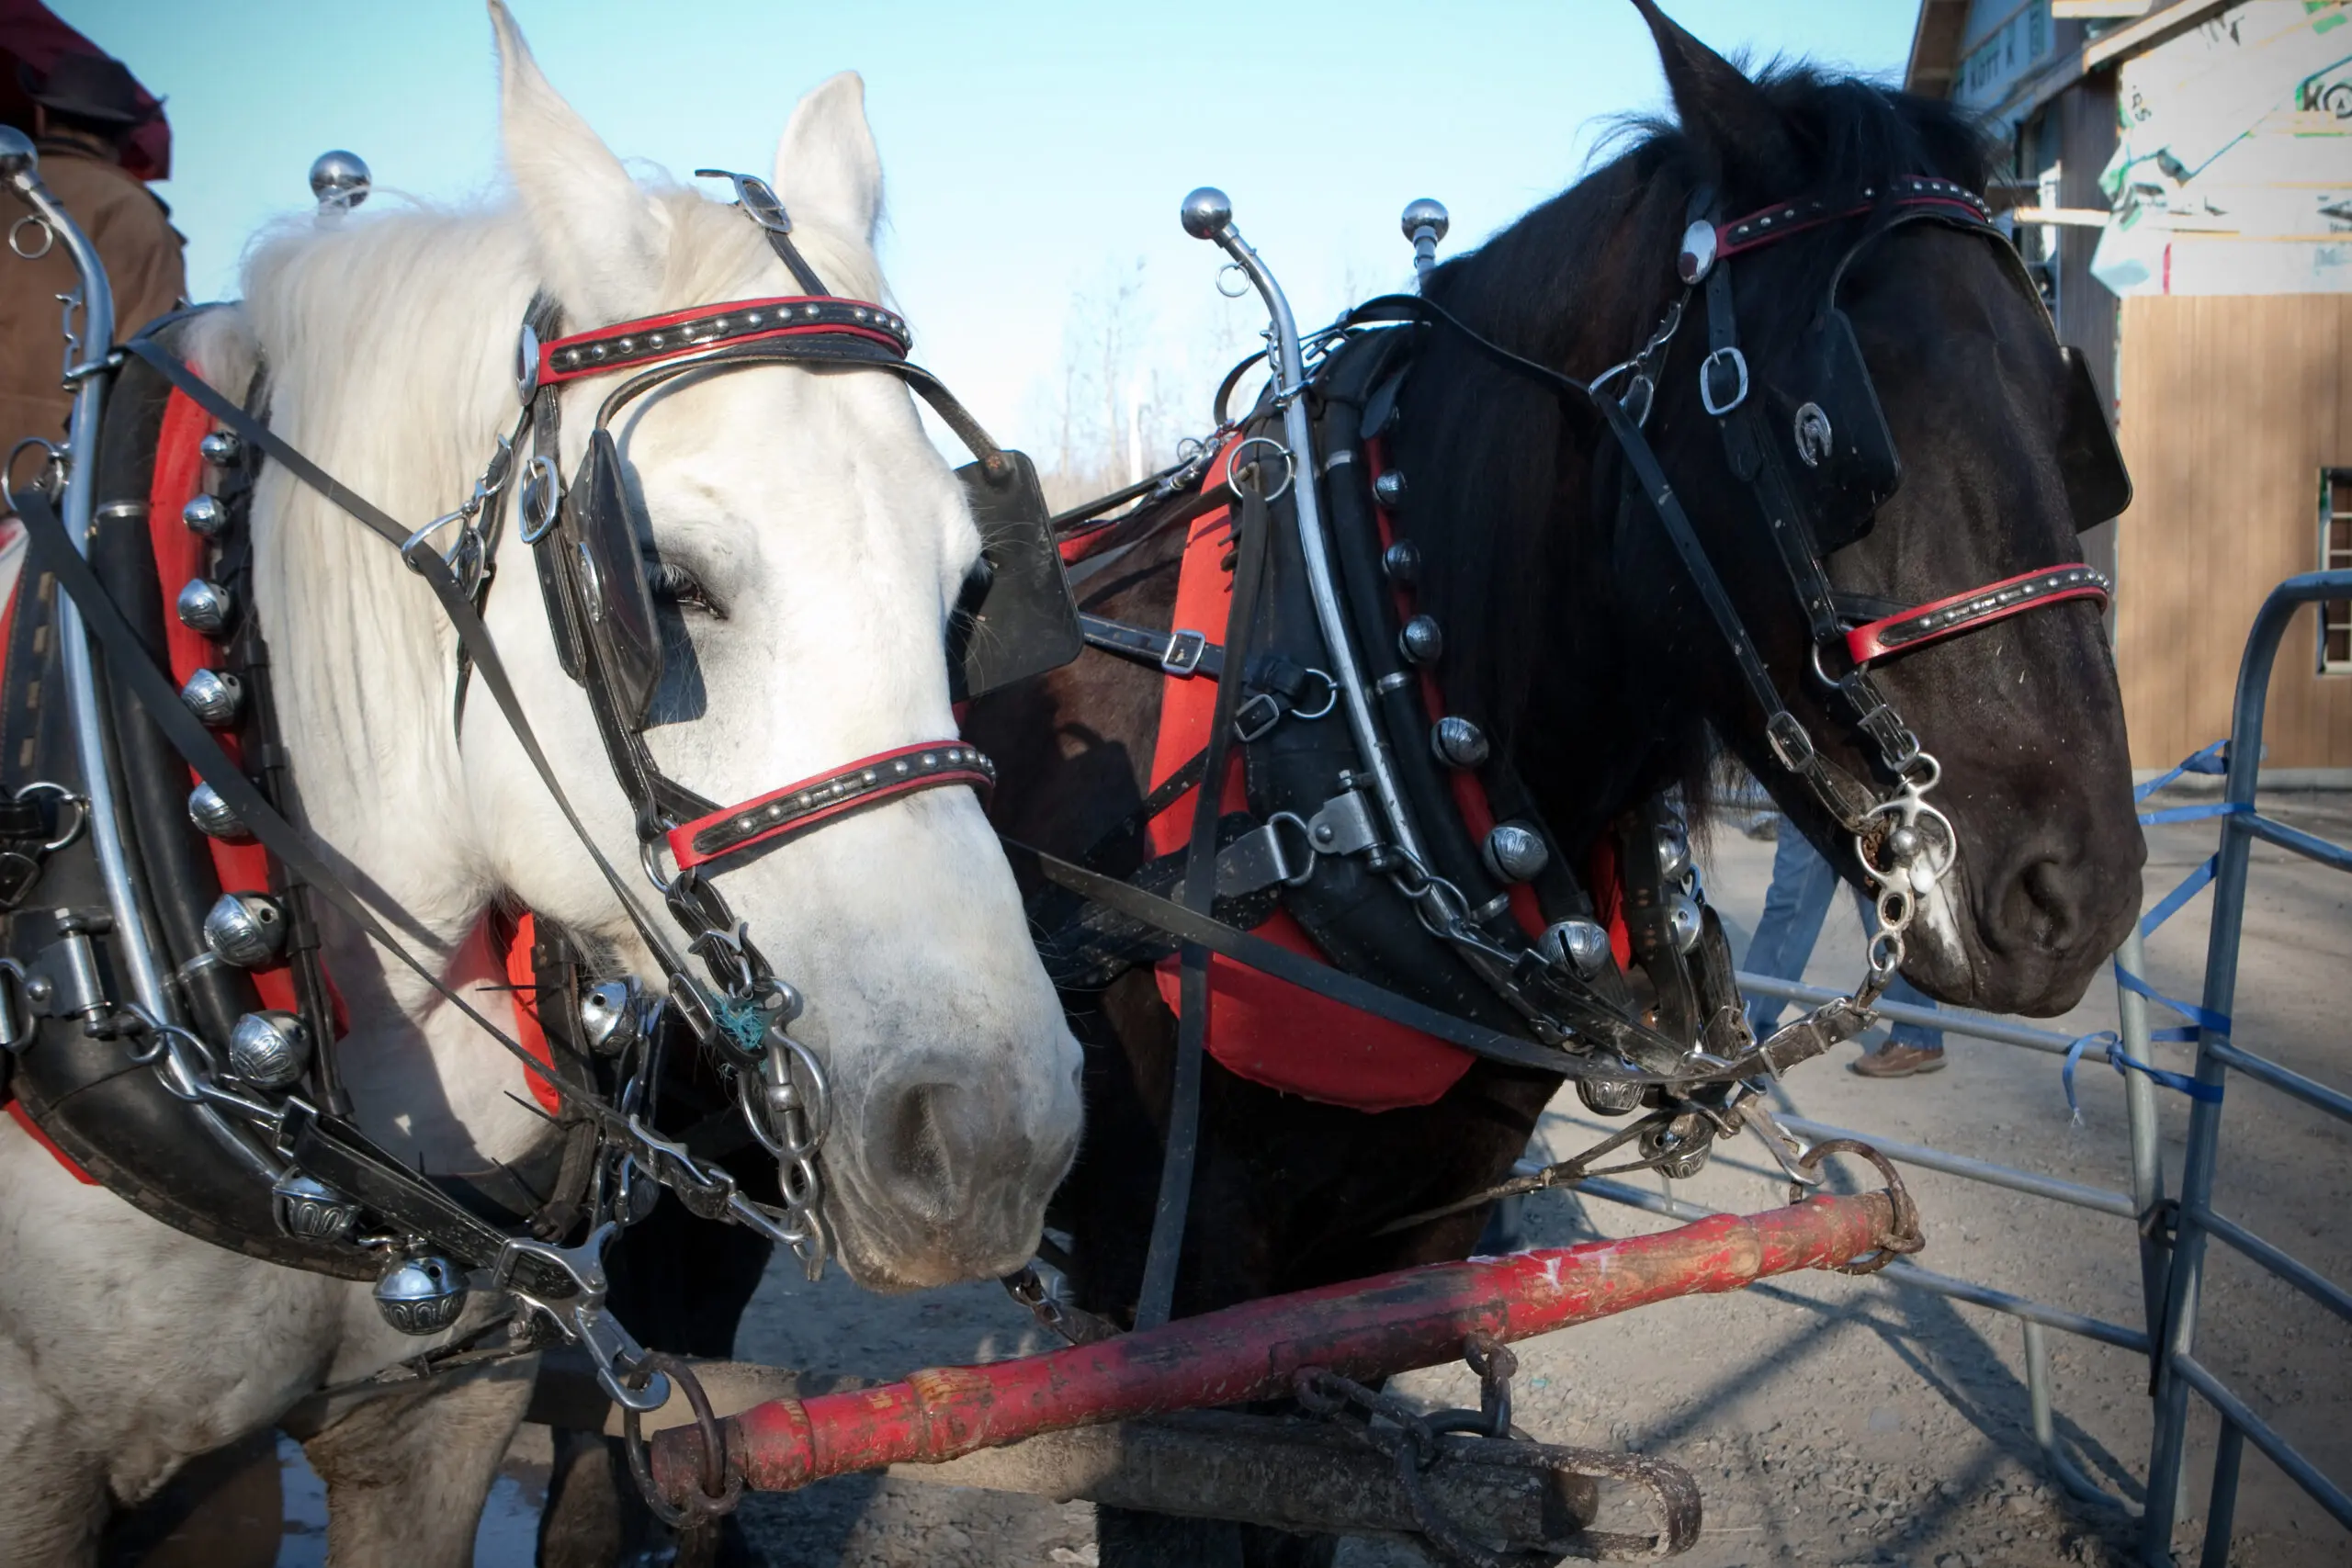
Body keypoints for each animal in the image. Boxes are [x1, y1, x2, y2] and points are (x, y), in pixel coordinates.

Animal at [959, 6, 2154, 1561]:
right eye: (1832, 433)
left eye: (2073, 424)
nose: (2084, 888)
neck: (1345, 732)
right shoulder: (1160, 1314)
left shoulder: (1381, 1270)